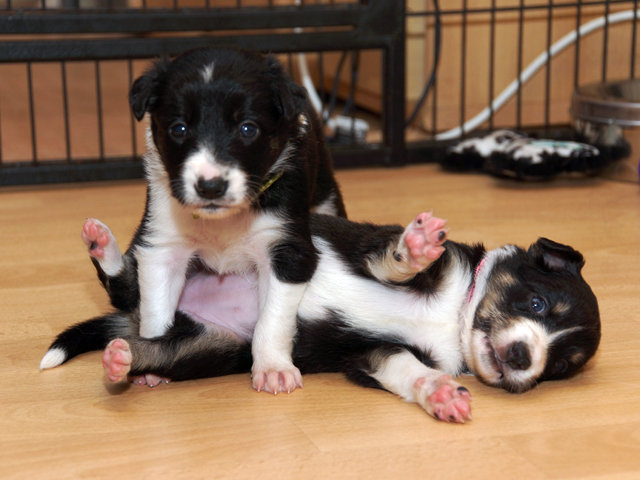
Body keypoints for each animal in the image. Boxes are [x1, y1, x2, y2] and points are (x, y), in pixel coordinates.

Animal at [41, 212, 601, 423]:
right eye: (538, 304)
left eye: (559, 366)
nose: (524, 356)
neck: (455, 314)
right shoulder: (373, 248)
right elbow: (397, 260)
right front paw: (418, 245)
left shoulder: (372, 355)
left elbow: (410, 372)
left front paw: (441, 395)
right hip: (185, 265)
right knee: (125, 284)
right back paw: (103, 245)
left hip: (206, 346)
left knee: (149, 340)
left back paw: (122, 360)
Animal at [64, 47, 346, 394]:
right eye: (179, 129)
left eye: (248, 128)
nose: (210, 185)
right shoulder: (163, 244)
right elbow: (155, 310)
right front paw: (153, 357)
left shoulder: (286, 250)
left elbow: (273, 319)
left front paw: (273, 368)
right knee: (126, 293)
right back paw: (100, 243)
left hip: (325, 197)